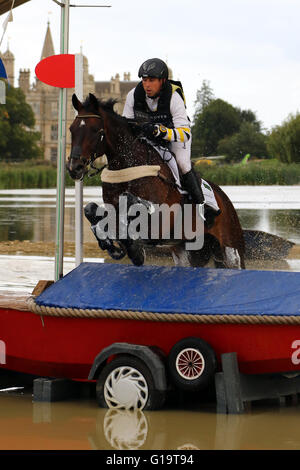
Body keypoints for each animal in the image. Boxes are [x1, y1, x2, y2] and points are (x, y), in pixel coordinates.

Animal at [67, 92, 245, 268]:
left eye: (95, 130)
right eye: (71, 129)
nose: (74, 167)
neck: (129, 165)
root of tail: (225, 199)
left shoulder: (161, 218)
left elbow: (133, 203)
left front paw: (134, 249)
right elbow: (92, 209)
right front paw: (114, 245)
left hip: (232, 249)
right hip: (187, 251)